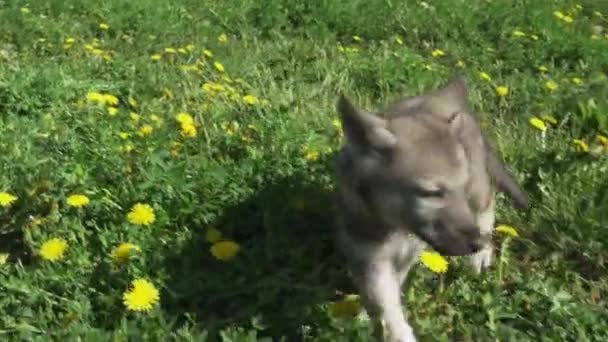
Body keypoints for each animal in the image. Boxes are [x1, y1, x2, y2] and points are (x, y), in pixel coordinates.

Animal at [332, 77, 528, 342]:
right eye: (431, 193)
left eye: (462, 187)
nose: (476, 243)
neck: (395, 225)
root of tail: (445, 96)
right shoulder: (370, 256)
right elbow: (382, 300)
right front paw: (370, 317)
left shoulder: (406, 253)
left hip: (479, 188)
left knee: (488, 204)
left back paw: (481, 257)